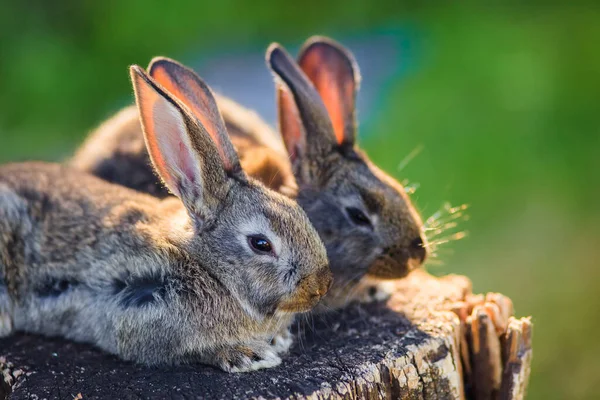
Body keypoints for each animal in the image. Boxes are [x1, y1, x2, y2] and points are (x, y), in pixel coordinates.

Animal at [0, 63, 332, 372]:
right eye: (261, 244)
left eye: (299, 211)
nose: (321, 286)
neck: (207, 266)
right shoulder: (140, 310)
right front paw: (246, 354)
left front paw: (279, 341)